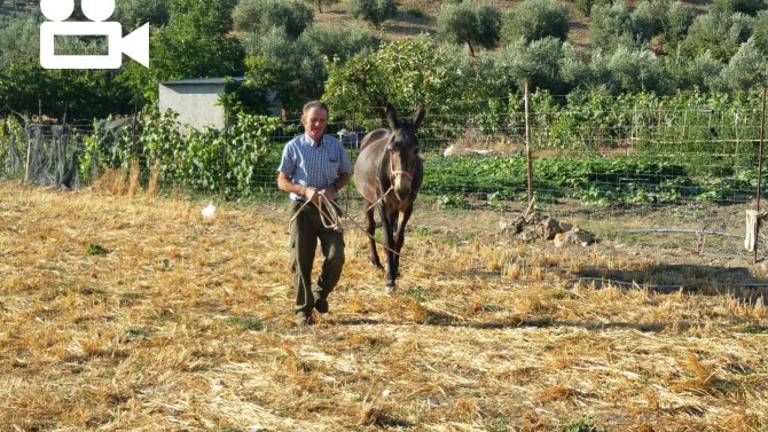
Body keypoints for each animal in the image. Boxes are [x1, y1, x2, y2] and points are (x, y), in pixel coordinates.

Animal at [354, 103, 426, 292]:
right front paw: (389, 278)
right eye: (391, 149)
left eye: (416, 150)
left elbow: (398, 240)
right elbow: (388, 241)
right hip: (369, 199)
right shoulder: (383, 204)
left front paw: (396, 270)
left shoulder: (408, 207)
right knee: (370, 226)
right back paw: (376, 262)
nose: (402, 189)